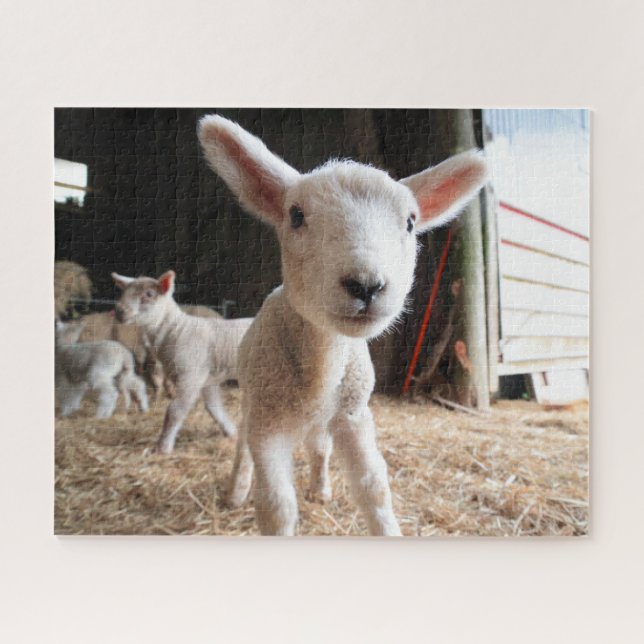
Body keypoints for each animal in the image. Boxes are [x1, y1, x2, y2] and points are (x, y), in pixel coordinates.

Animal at [112, 271, 253, 453]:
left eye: (149, 294)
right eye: (123, 291)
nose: (119, 311)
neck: (177, 329)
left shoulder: (191, 375)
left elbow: (175, 411)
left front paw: (163, 447)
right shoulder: (208, 378)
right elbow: (214, 408)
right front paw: (232, 432)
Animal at [198, 114, 488, 536]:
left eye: (410, 222)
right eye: (296, 215)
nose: (366, 285)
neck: (322, 364)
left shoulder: (353, 415)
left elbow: (374, 488)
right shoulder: (269, 425)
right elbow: (276, 506)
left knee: (319, 447)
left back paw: (320, 488)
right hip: (254, 399)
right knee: (243, 447)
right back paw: (236, 491)